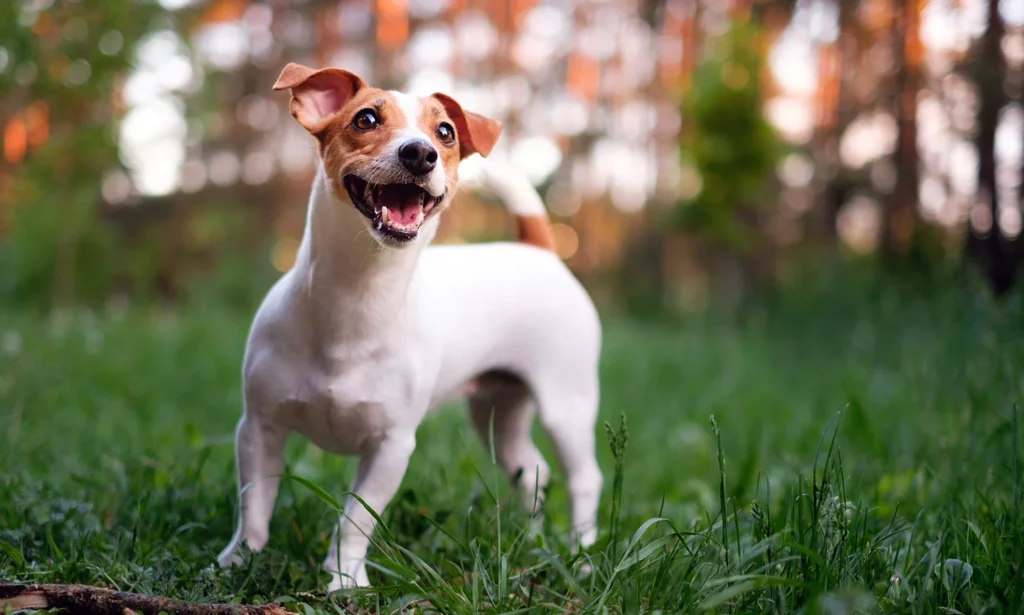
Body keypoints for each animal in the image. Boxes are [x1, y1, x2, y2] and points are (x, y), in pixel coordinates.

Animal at [214, 62, 598, 589]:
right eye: (366, 119)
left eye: (446, 132)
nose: (420, 152)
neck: (356, 297)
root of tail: (538, 249)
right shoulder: (259, 428)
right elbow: (254, 502)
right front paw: (239, 560)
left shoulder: (391, 448)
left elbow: (355, 520)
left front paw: (345, 580)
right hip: (497, 412)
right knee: (531, 469)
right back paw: (532, 538)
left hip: (567, 406)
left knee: (584, 479)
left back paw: (582, 554)